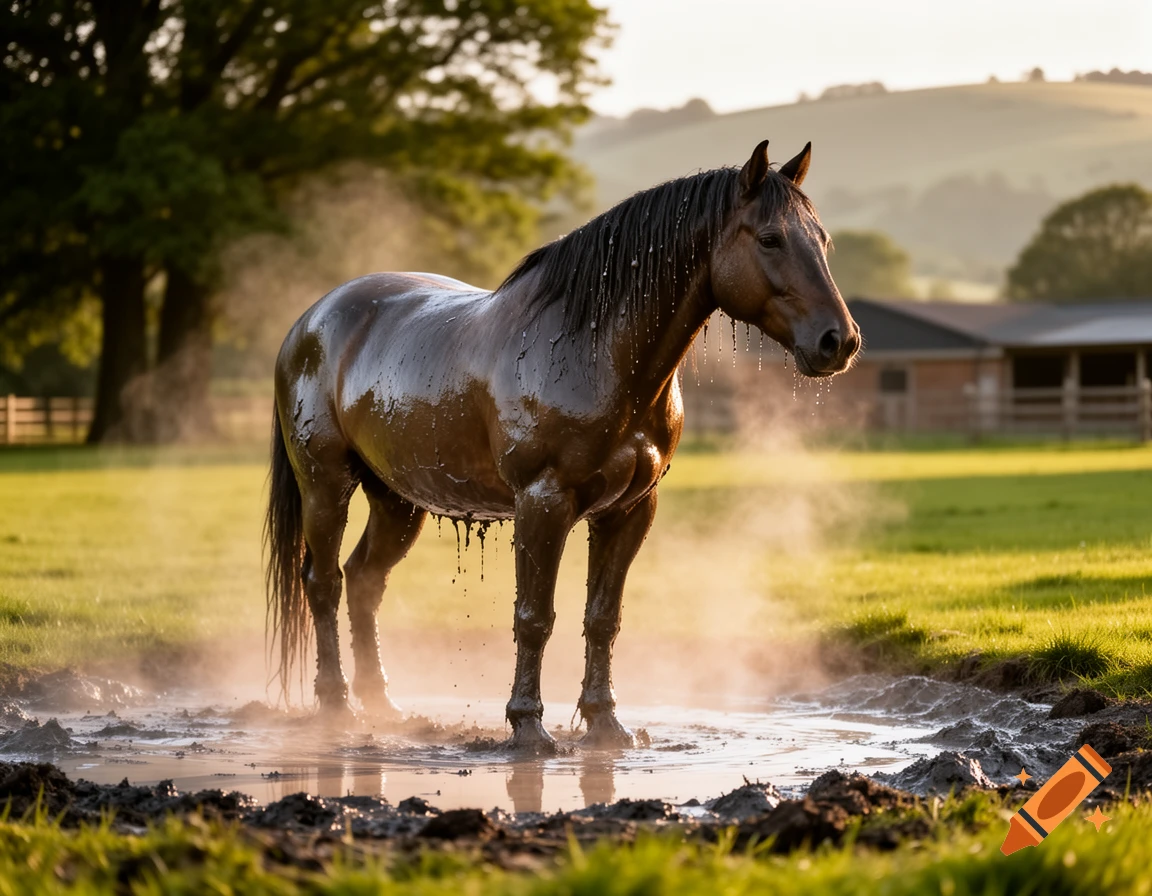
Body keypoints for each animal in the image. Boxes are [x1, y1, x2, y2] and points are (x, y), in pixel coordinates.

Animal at [265, 139, 860, 750]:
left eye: (822, 241)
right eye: (769, 238)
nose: (839, 342)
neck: (594, 351)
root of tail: (312, 319)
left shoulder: (629, 510)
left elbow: (602, 617)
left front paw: (605, 723)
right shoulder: (542, 503)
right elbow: (534, 616)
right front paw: (528, 727)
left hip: (398, 500)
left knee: (364, 581)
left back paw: (383, 706)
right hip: (326, 486)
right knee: (324, 583)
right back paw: (337, 707)